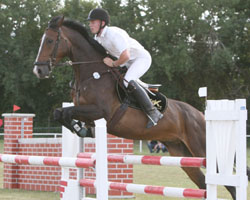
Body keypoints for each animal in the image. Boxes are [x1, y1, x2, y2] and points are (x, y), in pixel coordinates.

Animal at [33, 15, 242, 198]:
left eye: (50, 41)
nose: (39, 70)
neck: (91, 74)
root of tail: (201, 114)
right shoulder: (84, 111)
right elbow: (60, 113)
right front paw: (81, 129)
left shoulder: (101, 112)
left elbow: (65, 112)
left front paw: (81, 129)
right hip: (181, 152)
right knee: (202, 184)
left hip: (202, 149)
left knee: (229, 185)